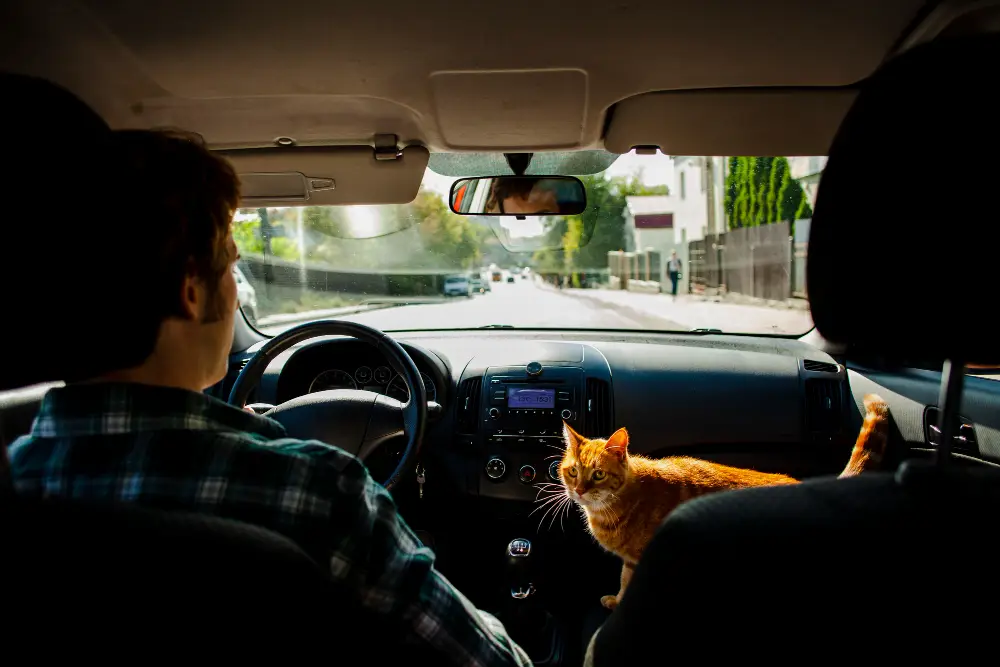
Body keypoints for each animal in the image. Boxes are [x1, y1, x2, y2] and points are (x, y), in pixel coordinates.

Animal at [556, 394, 892, 612]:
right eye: (573, 471)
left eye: (598, 474)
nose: (579, 491)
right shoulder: (630, 560)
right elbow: (623, 581)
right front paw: (617, 600)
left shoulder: (644, 559)